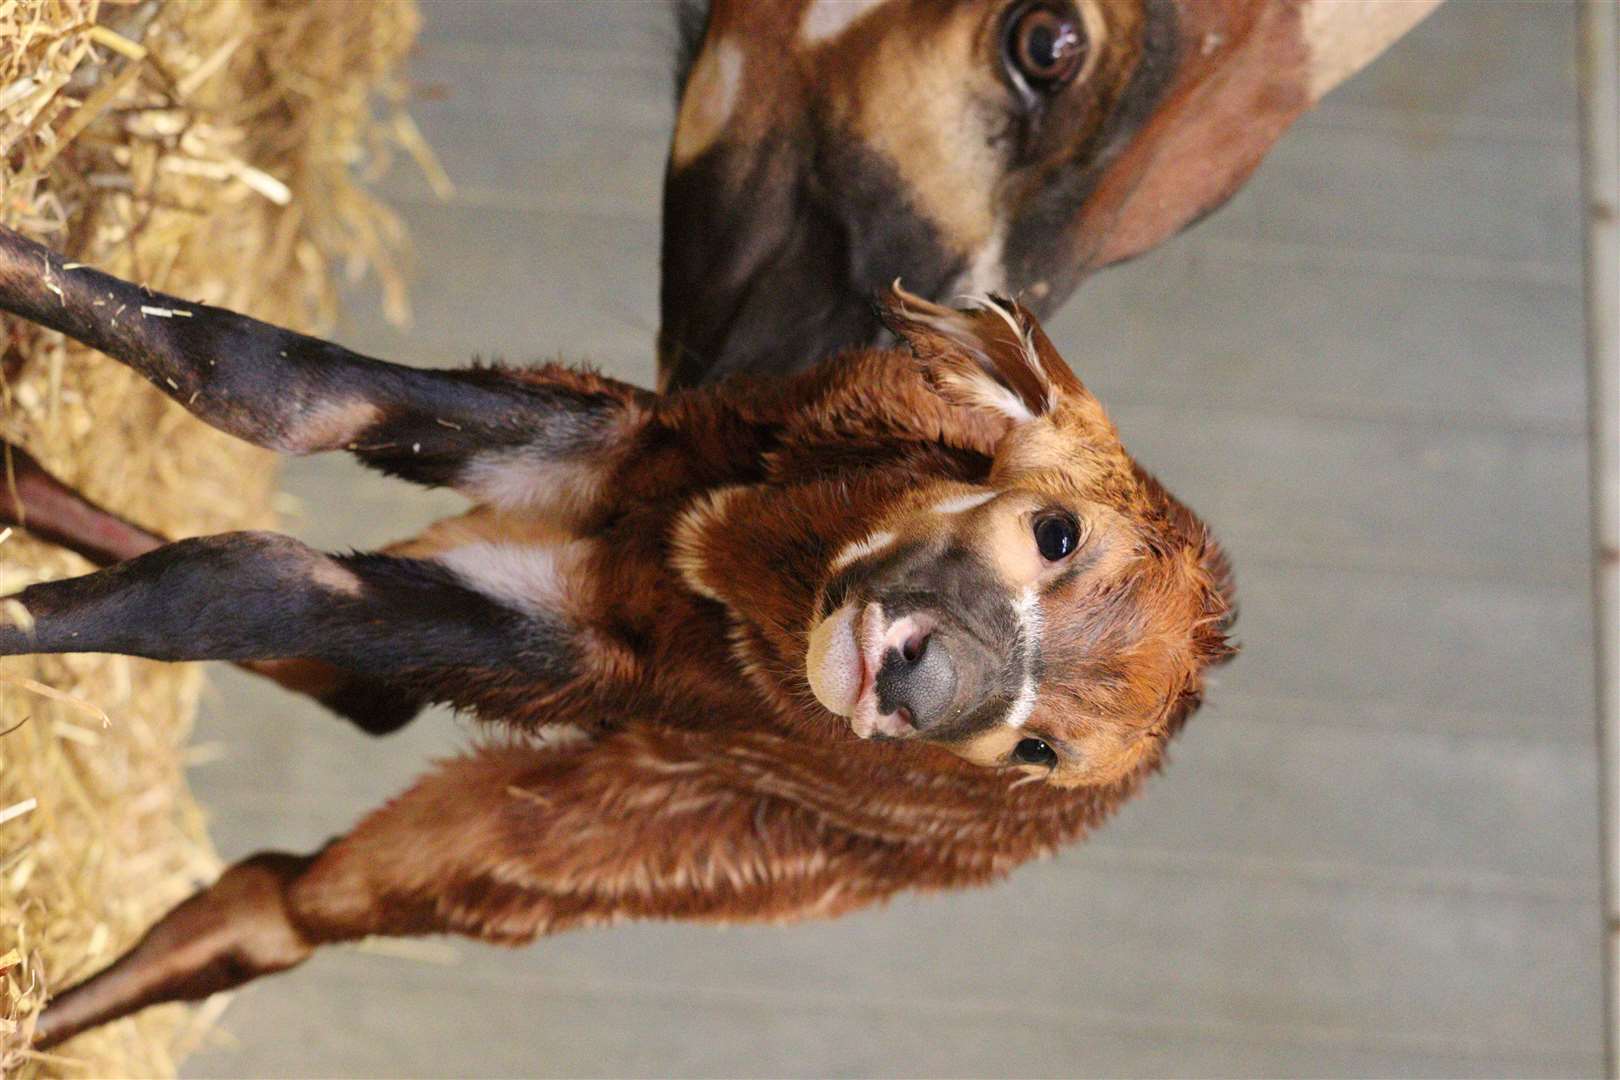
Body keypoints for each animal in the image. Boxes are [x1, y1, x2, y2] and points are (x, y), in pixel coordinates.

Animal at [0, 226, 1224, 1049]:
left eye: (1040, 750)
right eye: (1057, 530)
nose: (911, 686)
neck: (708, 543)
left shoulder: (588, 663)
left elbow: (229, 583)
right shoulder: (603, 449)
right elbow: (270, 384)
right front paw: (18, 263)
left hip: (560, 838)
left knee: (283, 897)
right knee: (352, 710)